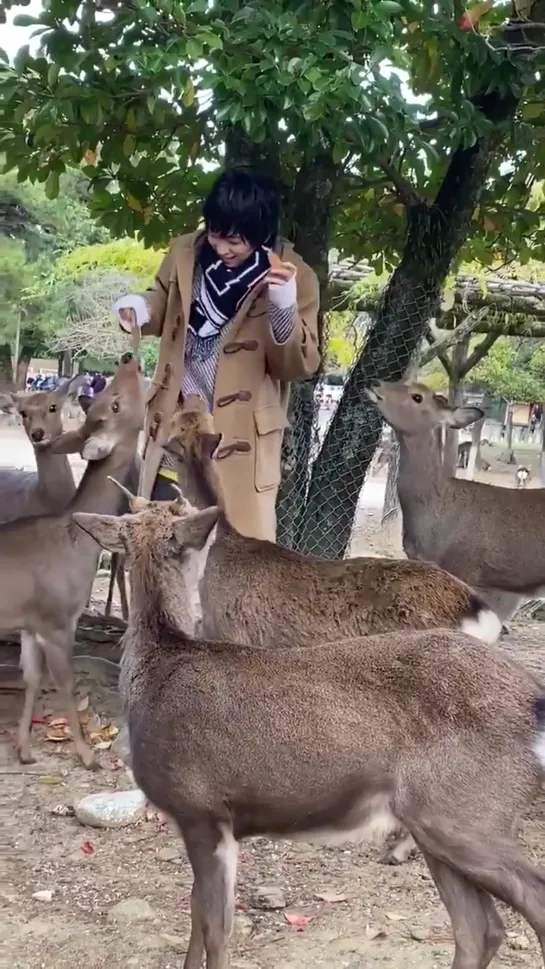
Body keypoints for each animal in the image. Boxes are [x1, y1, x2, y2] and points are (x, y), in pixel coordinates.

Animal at [0, 352, 144, 768]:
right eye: (113, 403)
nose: (128, 359)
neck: (77, 543)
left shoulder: (30, 623)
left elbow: (32, 678)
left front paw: (25, 750)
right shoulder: (57, 618)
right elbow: (64, 681)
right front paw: (86, 753)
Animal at [73, 496, 545, 968]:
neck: (158, 666)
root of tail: (534, 703)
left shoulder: (201, 808)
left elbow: (216, 927)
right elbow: (195, 911)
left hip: (468, 813)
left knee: (526, 902)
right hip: (439, 817)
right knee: (479, 928)